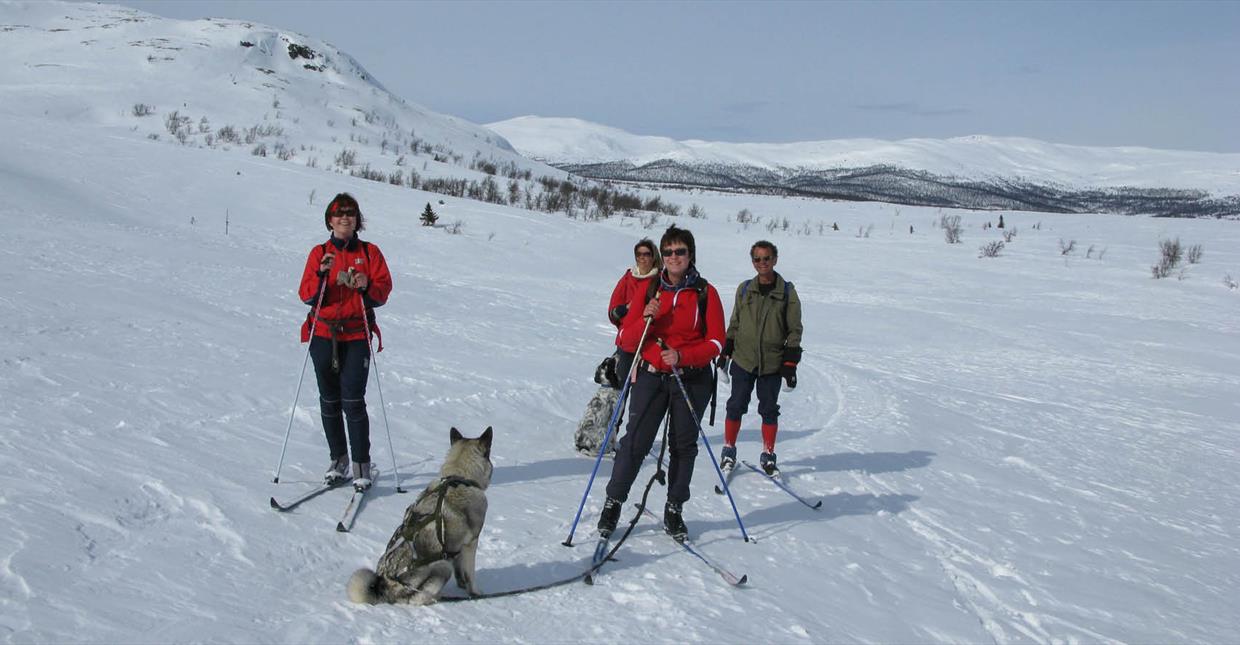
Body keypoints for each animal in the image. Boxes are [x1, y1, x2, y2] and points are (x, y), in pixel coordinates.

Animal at [347, 429, 491, 605]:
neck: (459, 478)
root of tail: (384, 587)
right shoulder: (471, 544)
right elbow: (470, 574)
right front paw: (475, 593)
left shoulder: (456, 548)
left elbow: (460, 572)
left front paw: (462, 586)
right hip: (442, 566)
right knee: (417, 598)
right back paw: (438, 598)